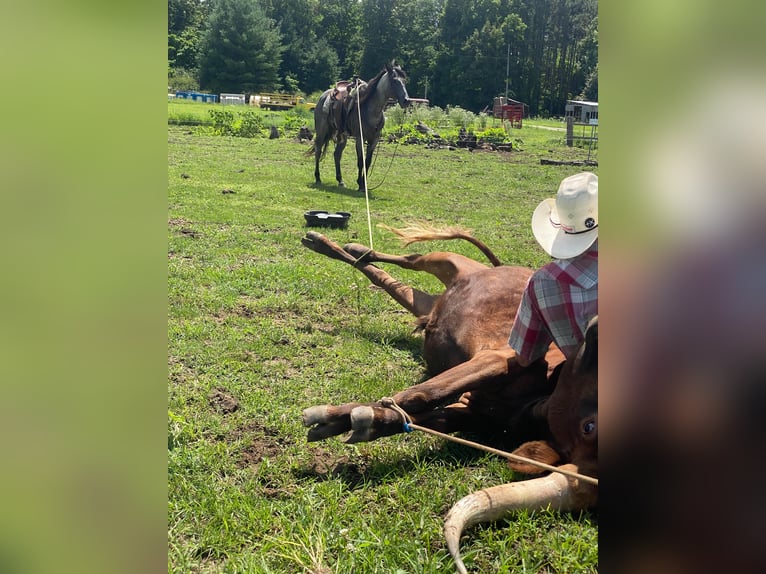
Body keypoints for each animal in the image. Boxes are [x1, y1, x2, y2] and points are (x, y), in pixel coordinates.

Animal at [310, 62, 412, 192]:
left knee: (337, 154)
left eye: (404, 81)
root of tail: (323, 96)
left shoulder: (374, 139)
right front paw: (359, 184)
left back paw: (340, 181)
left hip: (342, 136)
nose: (406, 101)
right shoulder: (360, 138)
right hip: (321, 131)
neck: (370, 110)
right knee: (318, 151)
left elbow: (367, 161)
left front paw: (364, 184)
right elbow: (360, 161)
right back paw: (318, 178)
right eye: (394, 80)